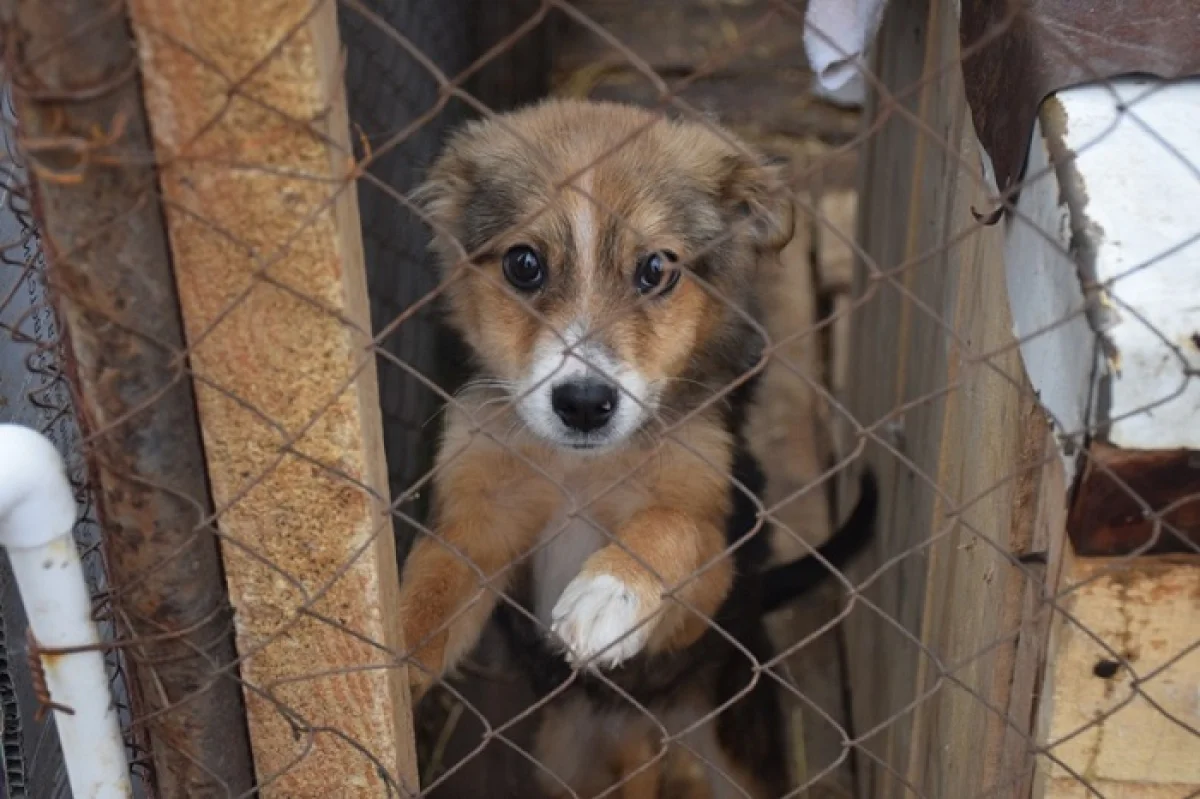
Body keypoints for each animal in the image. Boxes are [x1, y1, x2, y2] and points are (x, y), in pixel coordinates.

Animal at [398, 101, 878, 796]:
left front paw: (611, 591)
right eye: (523, 264)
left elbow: (672, 525)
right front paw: (374, 658)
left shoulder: (711, 571)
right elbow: (429, 594)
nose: (583, 404)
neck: (580, 466)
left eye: (656, 270)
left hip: (733, 735)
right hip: (564, 757)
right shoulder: (477, 519)